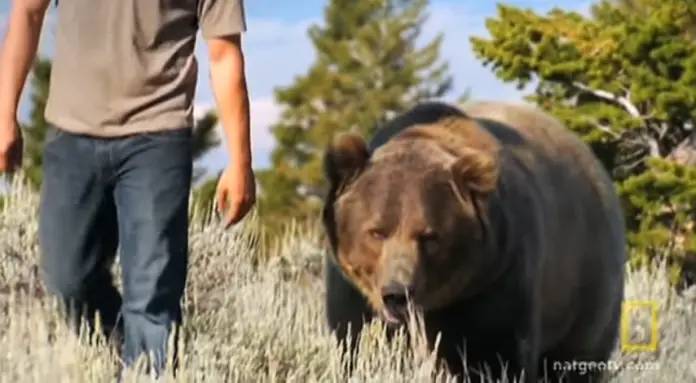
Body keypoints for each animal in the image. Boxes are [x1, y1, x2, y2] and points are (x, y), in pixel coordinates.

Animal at [320, 100, 624, 382]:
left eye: (429, 236)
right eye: (377, 232)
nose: (397, 293)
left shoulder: (494, 280)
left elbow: (493, 354)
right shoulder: (355, 292)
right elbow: (356, 341)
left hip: (584, 287)